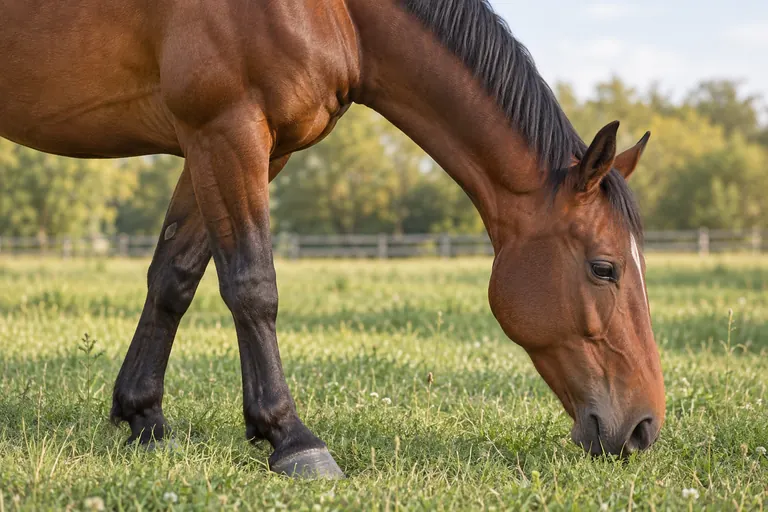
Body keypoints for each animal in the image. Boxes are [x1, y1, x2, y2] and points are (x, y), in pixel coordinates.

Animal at [0, 0, 665, 478]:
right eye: (604, 267)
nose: (644, 428)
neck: (332, 10)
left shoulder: (224, 145)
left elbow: (174, 278)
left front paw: (144, 417)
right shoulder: (228, 130)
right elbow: (252, 285)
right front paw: (290, 437)